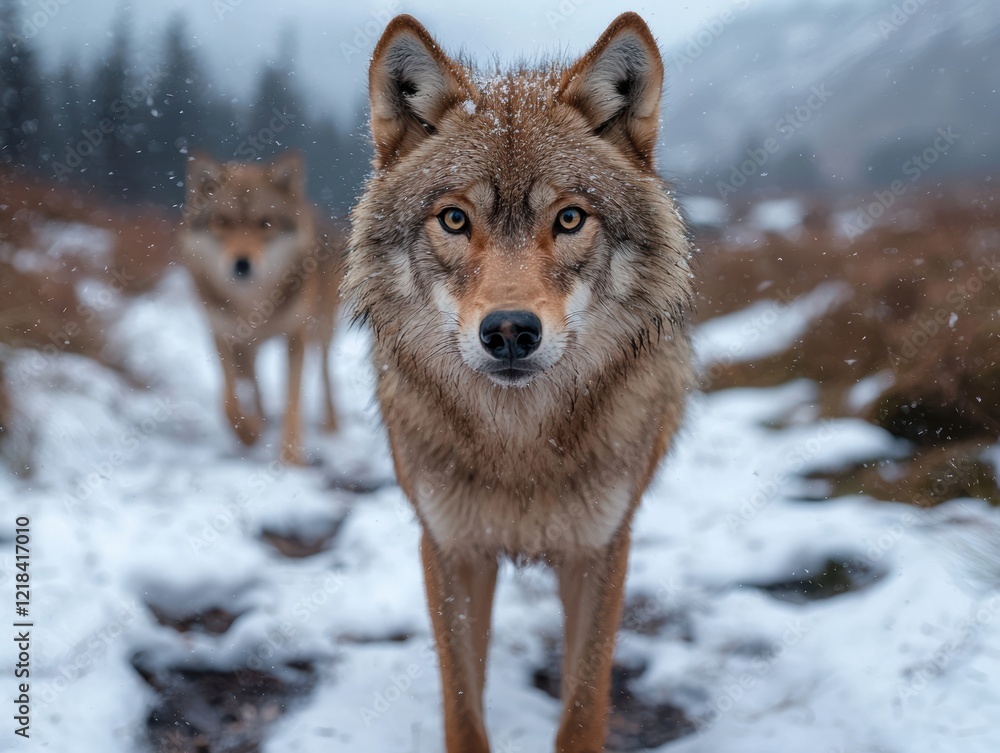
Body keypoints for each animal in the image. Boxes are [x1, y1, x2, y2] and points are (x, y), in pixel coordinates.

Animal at [179, 152, 343, 465]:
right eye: (221, 222)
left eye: (265, 223)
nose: (242, 264)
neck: (252, 304)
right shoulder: (222, 335)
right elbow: (228, 398)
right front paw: (249, 432)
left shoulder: (296, 336)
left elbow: (293, 399)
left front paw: (290, 457)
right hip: (250, 346)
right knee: (251, 379)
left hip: (322, 326)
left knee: (326, 370)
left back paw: (330, 424)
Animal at [345, 13, 694, 752]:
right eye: (455, 219)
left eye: (569, 218)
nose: (509, 331)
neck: (520, 446)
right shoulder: (450, 550)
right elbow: (463, 709)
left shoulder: (600, 551)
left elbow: (583, 709)